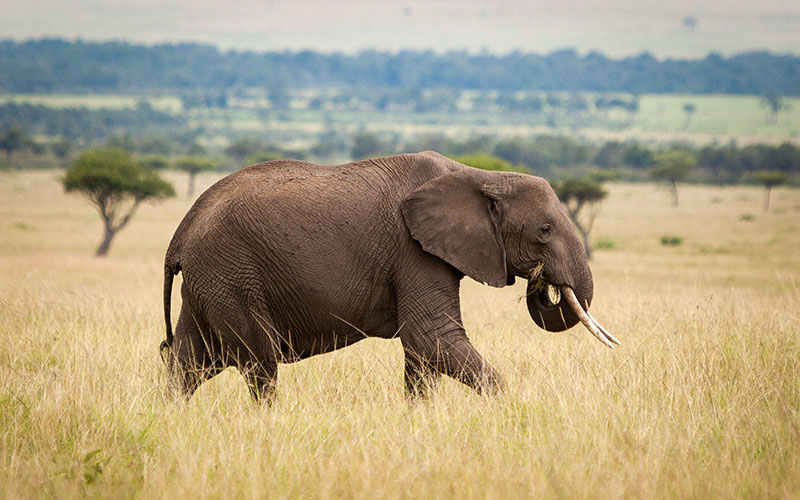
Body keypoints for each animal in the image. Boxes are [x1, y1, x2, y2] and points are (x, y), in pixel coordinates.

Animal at [159, 151, 616, 402]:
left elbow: (422, 353)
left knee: (192, 361)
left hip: (212, 279)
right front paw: (508, 409)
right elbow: (432, 337)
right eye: (545, 230)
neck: (479, 175)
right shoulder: (413, 250)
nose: (543, 284)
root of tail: (182, 230)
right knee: (259, 362)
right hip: (231, 272)